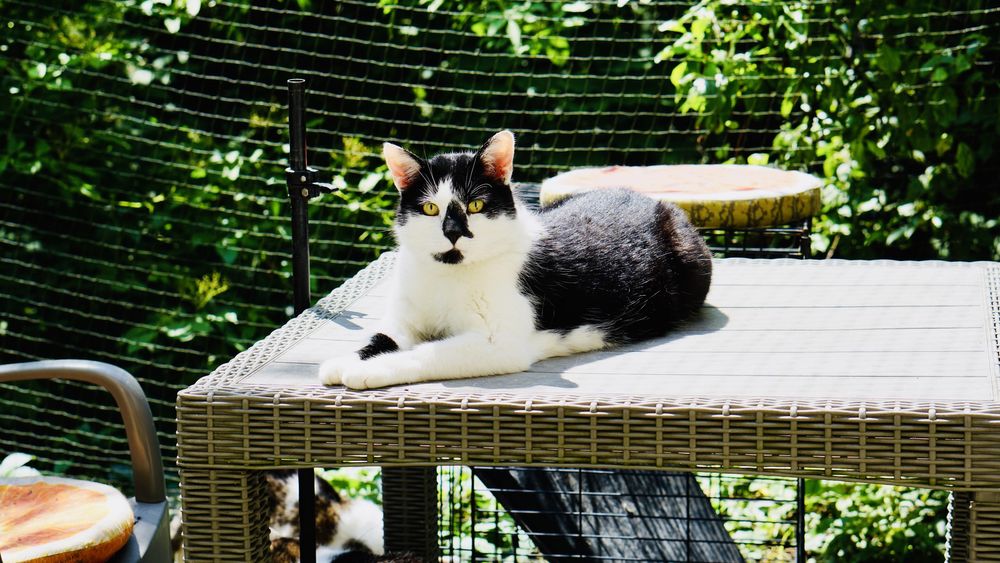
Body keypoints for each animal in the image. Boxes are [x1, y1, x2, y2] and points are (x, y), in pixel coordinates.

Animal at [320, 130, 712, 390]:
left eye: (476, 204)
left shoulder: (500, 344)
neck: (448, 276)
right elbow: (381, 337)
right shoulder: (405, 317)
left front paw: (369, 370)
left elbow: (428, 353)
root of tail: (649, 197)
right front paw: (344, 361)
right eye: (431, 209)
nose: (453, 231)